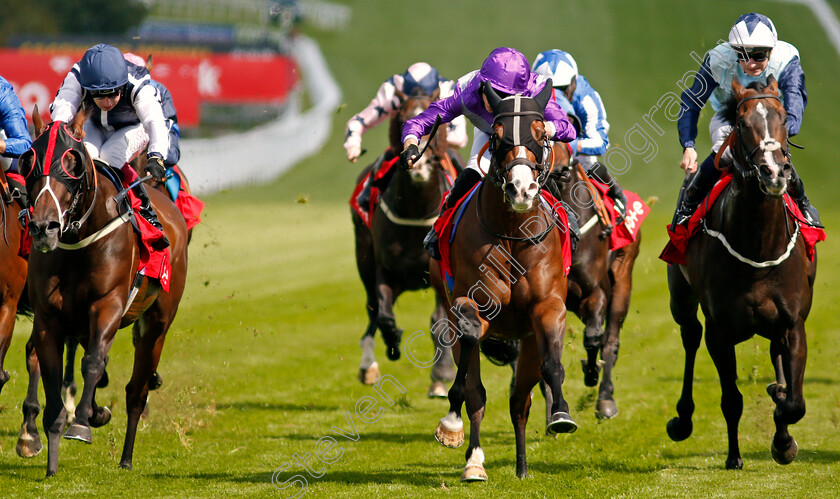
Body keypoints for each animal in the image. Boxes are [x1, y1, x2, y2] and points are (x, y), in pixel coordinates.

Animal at [16, 109, 188, 476]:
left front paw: (82, 423)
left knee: (136, 391)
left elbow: (94, 362)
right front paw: (51, 457)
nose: (43, 227)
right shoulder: (49, 320)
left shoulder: (107, 305)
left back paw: (125, 457)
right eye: (28, 162)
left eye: (73, 163)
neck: (78, 242)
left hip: (157, 322)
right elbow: (53, 378)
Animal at [350, 88, 460, 396]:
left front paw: (442, 374)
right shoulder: (384, 268)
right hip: (363, 257)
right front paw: (393, 344)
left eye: (438, 126)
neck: (416, 212)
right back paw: (368, 364)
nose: (419, 164)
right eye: (402, 120)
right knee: (372, 308)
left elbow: (440, 323)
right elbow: (384, 314)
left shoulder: (441, 272)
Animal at [430, 84, 576, 482]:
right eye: (495, 137)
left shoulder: (547, 308)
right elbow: (469, 377)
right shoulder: (469, 307)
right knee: (478, 393)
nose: (521, 189)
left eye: (540, 134)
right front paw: (451, 423)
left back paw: (523, 467)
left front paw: (561, 414)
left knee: (519, 401)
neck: (512, 233)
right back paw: (475, 461)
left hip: (528, 342)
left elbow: (552, 367)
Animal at [668, 77, 816, 468]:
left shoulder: (792, 321)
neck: (758, 247)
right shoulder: (719, 330)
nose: (774, 172)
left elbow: (794, 403)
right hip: (681, 298)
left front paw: (783, 439)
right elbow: (732, 399)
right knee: (690, 336)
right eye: (742, 122)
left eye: (783, 117)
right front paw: (734, 456)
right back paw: (682, 419)